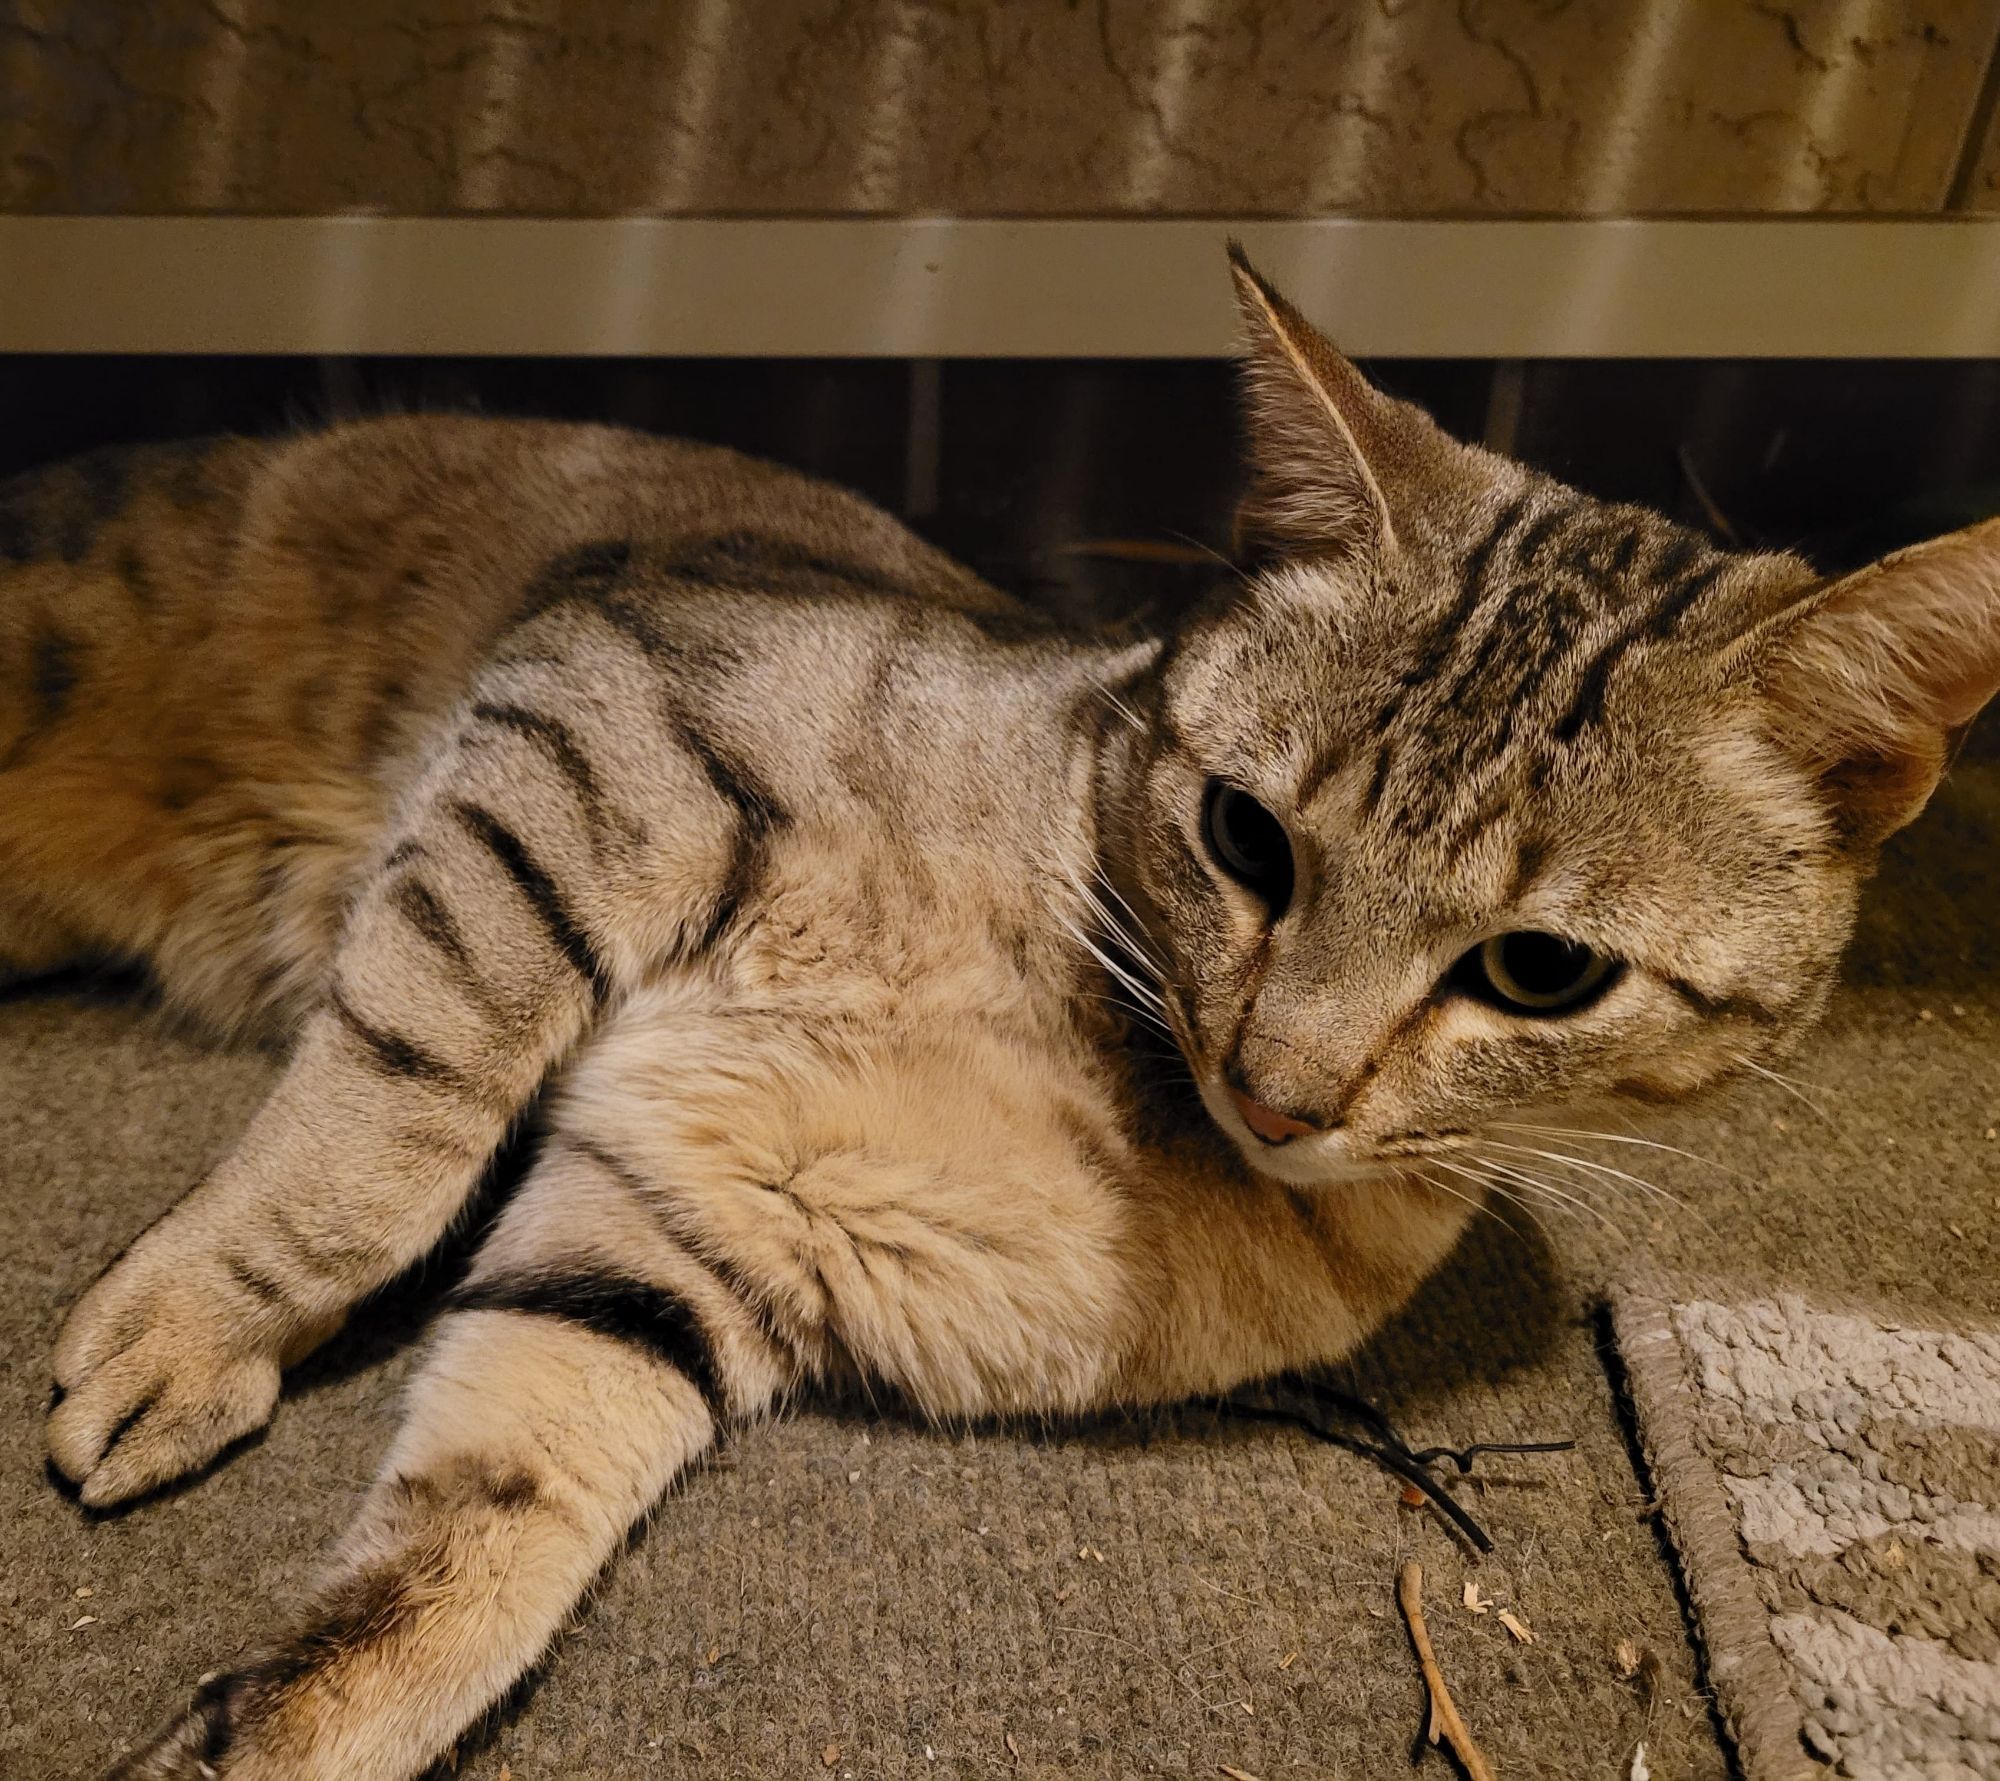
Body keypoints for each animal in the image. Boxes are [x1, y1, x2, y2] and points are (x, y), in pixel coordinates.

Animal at [7, 253, 1992, 1776]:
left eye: (1542, 971)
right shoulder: (601, 725)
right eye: (1246, 836)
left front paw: (284, 1718)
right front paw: (193, 1325)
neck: (1114, 1080)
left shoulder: (674, 1231)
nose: (1278, 1089)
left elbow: (491, 1516)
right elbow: (389, 1121)